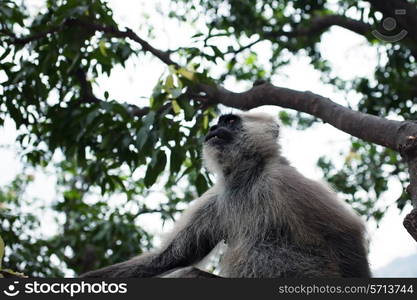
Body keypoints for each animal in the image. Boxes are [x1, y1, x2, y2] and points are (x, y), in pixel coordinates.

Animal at [82, 111, 370, 278]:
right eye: (216, 123)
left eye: (229, 121)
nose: (212, 129)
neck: (246, 180)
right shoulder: (216, 200)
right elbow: (171, 256)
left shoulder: (282, 180)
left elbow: (345, 232)